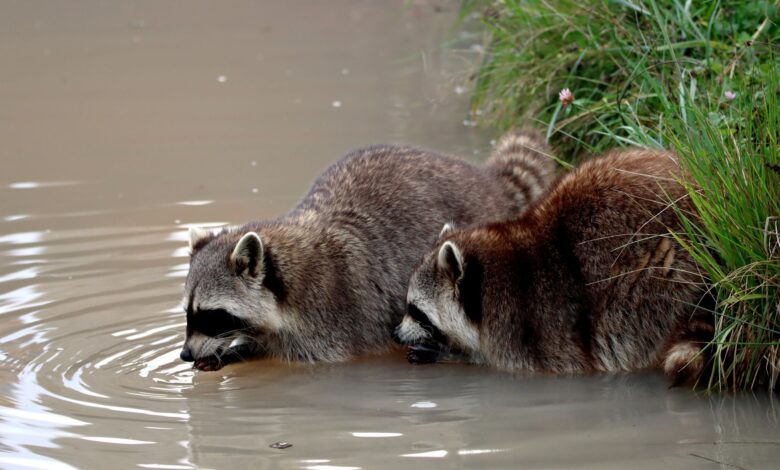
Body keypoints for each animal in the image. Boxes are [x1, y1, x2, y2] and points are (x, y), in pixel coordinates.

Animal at [180, 131, 557, 371]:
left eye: (211, 315)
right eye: (187, 312)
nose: (184, 354)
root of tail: (485, 182)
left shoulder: (332, 318)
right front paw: (235, 350)